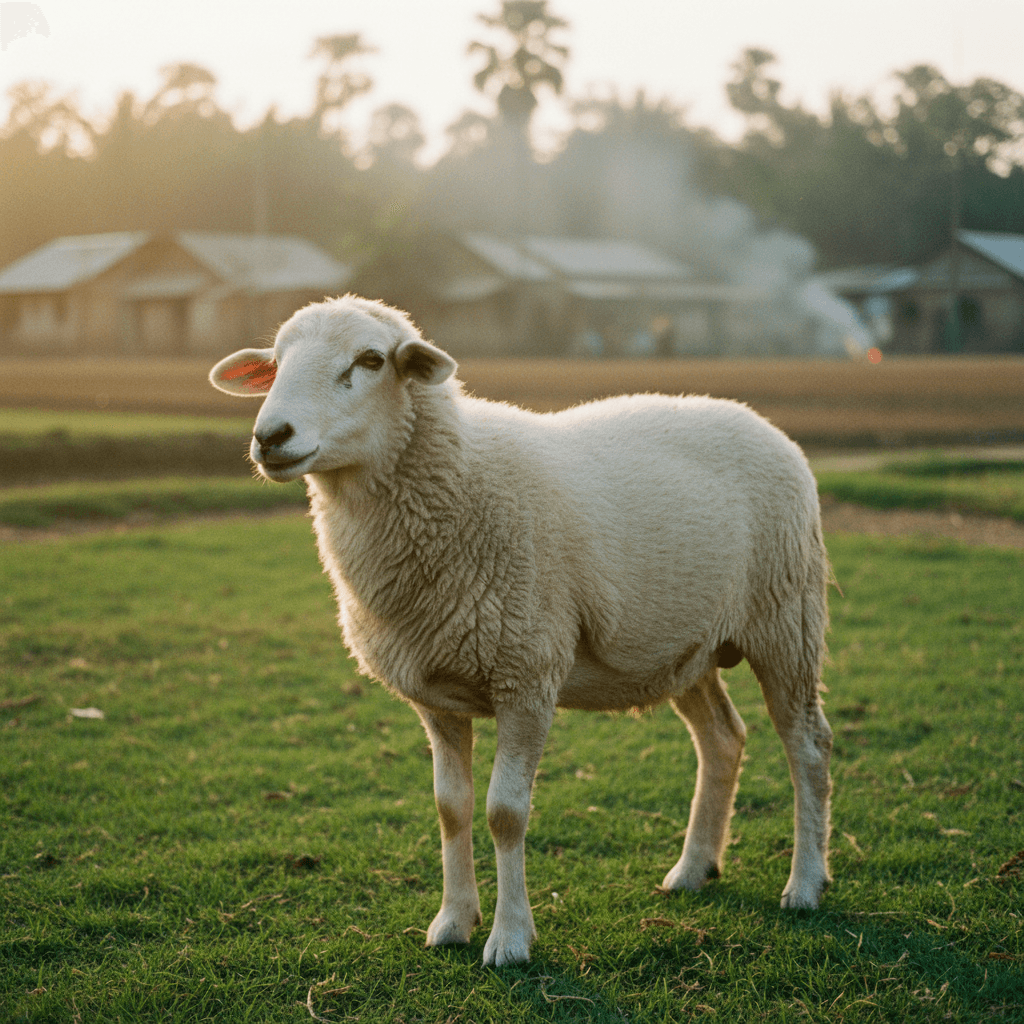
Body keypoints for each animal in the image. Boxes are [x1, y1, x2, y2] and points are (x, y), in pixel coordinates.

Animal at [209, 294, 834, 967]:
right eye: (275, 363)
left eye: (371, 359)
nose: (270, 437)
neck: (456, 482)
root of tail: (759, 421)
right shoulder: (437, 696)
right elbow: (451, 809)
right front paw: (452, 922)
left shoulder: (527, 676)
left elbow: (504, 814)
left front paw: (509, 940)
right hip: (685, 646)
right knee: (722, 739)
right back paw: (693, 870)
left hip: (787, 617)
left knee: (807, 746)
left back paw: (805, 884)